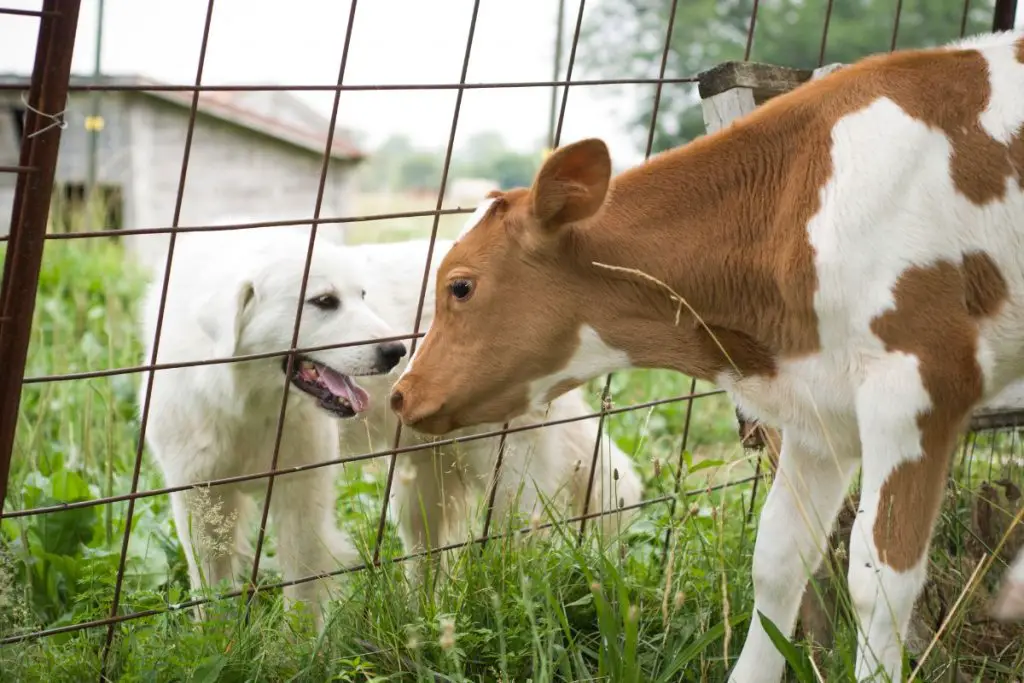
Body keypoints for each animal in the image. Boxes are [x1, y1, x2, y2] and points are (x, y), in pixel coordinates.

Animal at [140, 224, 643, 630]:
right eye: (323, 302)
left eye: (362, 296)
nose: (397, 352)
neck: (245, 398)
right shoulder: (199, 498)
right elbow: (210, 588)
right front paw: (218, 645)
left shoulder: (301, 493)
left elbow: (302, 585)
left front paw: (298, 651)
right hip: (421, 486)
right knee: (430, 559)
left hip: (504, 470)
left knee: (521, 537)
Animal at [389, 31, 1024, 683]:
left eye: (460, 286)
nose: (401, 392)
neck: (799, 208)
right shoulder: (817, 412)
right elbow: (777, 562)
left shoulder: (920, 386)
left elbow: (881, 581)